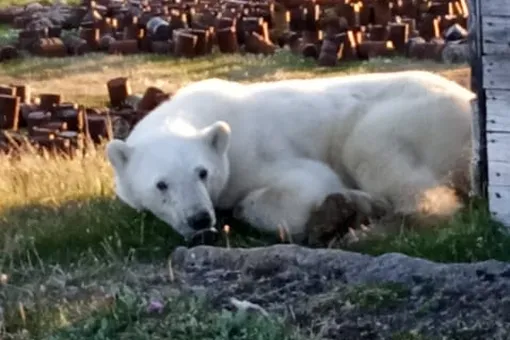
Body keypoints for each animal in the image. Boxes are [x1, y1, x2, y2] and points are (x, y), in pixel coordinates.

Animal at [105, 70, 476, 243]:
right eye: (161, 184)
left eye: (202, 172)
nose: (199, 219)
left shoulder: (255, 152)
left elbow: (305, 185)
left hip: (411, 116)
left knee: (374, 152)